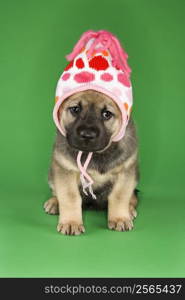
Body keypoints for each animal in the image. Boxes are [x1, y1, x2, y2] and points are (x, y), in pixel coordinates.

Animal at [44, 90, 138, 236]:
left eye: (107, 114)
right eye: (75, 109)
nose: (87, 135)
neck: (94, 154)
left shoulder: (126, 170)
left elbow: (119, 196)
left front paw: (119, 218)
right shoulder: (65, 169)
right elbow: (69, 197)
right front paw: (71, 222)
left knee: (133, 197)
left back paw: (130, 209)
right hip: (52, 175)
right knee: (56, 192)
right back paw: (55, 203)